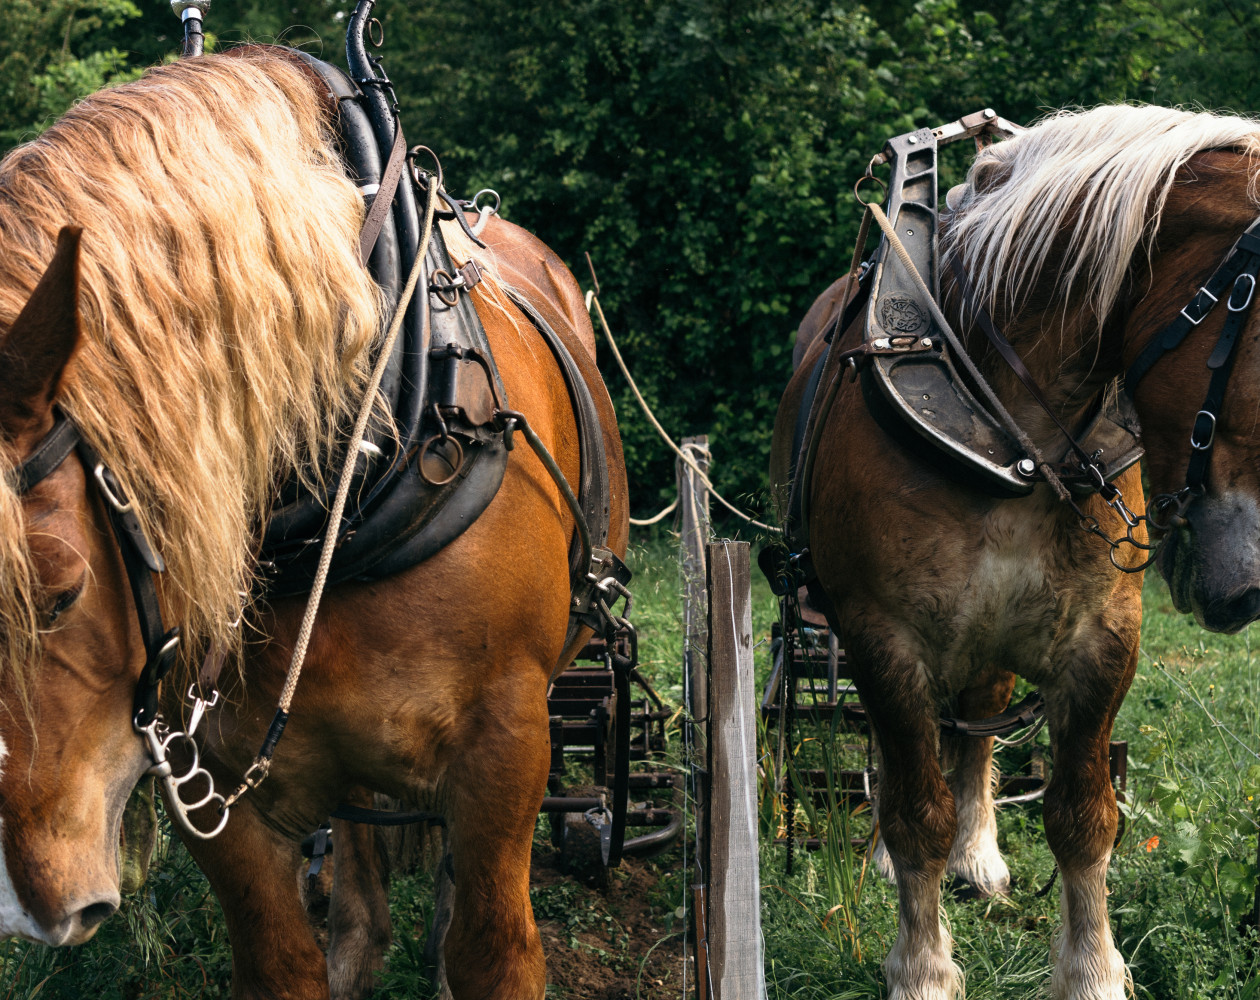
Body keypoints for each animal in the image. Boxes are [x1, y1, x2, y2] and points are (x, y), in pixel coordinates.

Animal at [0, 40, 627, 997]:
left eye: (62, 595)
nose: (28, 909)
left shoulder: (508, 744)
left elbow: (492, 950)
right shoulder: (218, 786)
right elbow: (284, 959)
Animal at [771, 103, 1260, 997]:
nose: (1244, 590)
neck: (1009, 429)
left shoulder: (1101, 640)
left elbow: (1083, 816)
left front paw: (1091, 971)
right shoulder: (883, 636)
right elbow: (913, 810)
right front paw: (922, 970)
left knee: (978, 719)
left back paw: (978, 854)